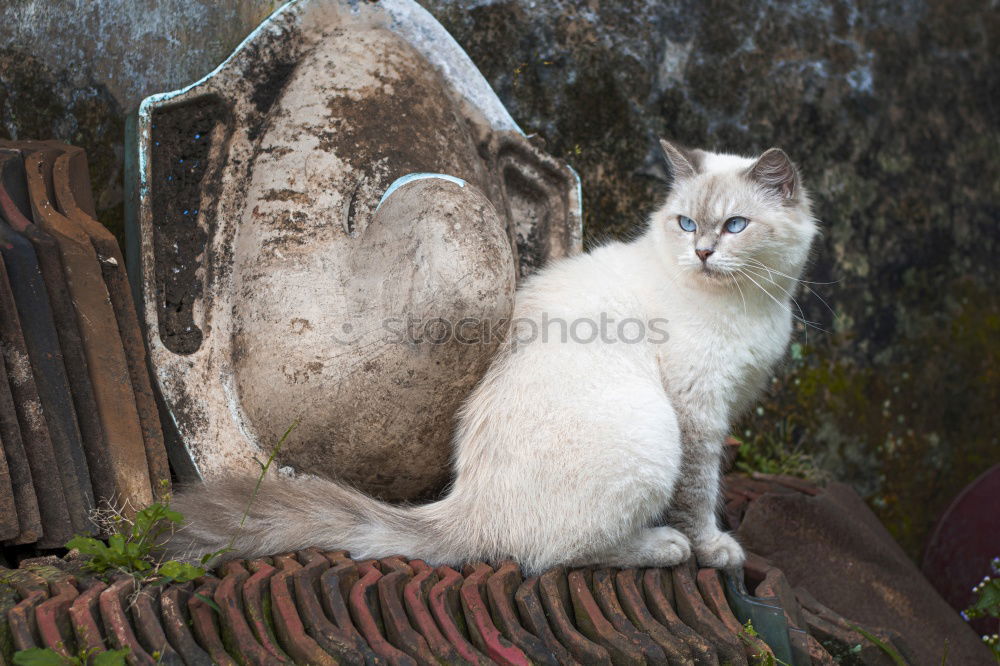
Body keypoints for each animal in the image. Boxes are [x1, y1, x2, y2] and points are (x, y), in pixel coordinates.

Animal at [172, 141, 816, 576]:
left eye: (734, 226)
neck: (752, 306)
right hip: (653, 436)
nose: (702, 252)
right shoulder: (698, 412)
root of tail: (467, 505)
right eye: (686, 224)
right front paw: (714, 549)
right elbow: (700, 495)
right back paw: (663, 547)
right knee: (556, 554)